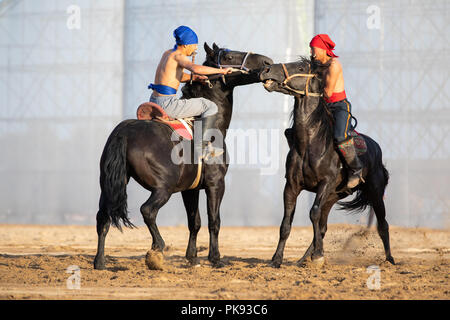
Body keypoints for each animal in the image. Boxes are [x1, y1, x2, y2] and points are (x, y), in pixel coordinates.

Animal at [93, 42, 272, 268]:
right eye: (229, 56)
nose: (267, 62)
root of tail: (124, 132)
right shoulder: (216, 184)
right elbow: (214, 221)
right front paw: (215, 258)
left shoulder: (190, 189)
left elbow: (194, 222)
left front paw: (192, 257)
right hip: (163, 188)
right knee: (147, 211)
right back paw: (157, 248)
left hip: (111, 185)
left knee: (103, 218)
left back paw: (100, 262)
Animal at [260, 58, 394, 268]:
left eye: (300, 67)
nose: (265, 70)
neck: (311, 142)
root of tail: (376, 148)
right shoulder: (291, 186)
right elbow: (286, 224)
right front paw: (276, 259)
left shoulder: (325, 183)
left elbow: (313, 213)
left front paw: (318, 255)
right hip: (333, 196)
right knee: (322, 227)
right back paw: (303, 259)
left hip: (375, 192)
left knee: (383, 225)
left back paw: (389, 260)